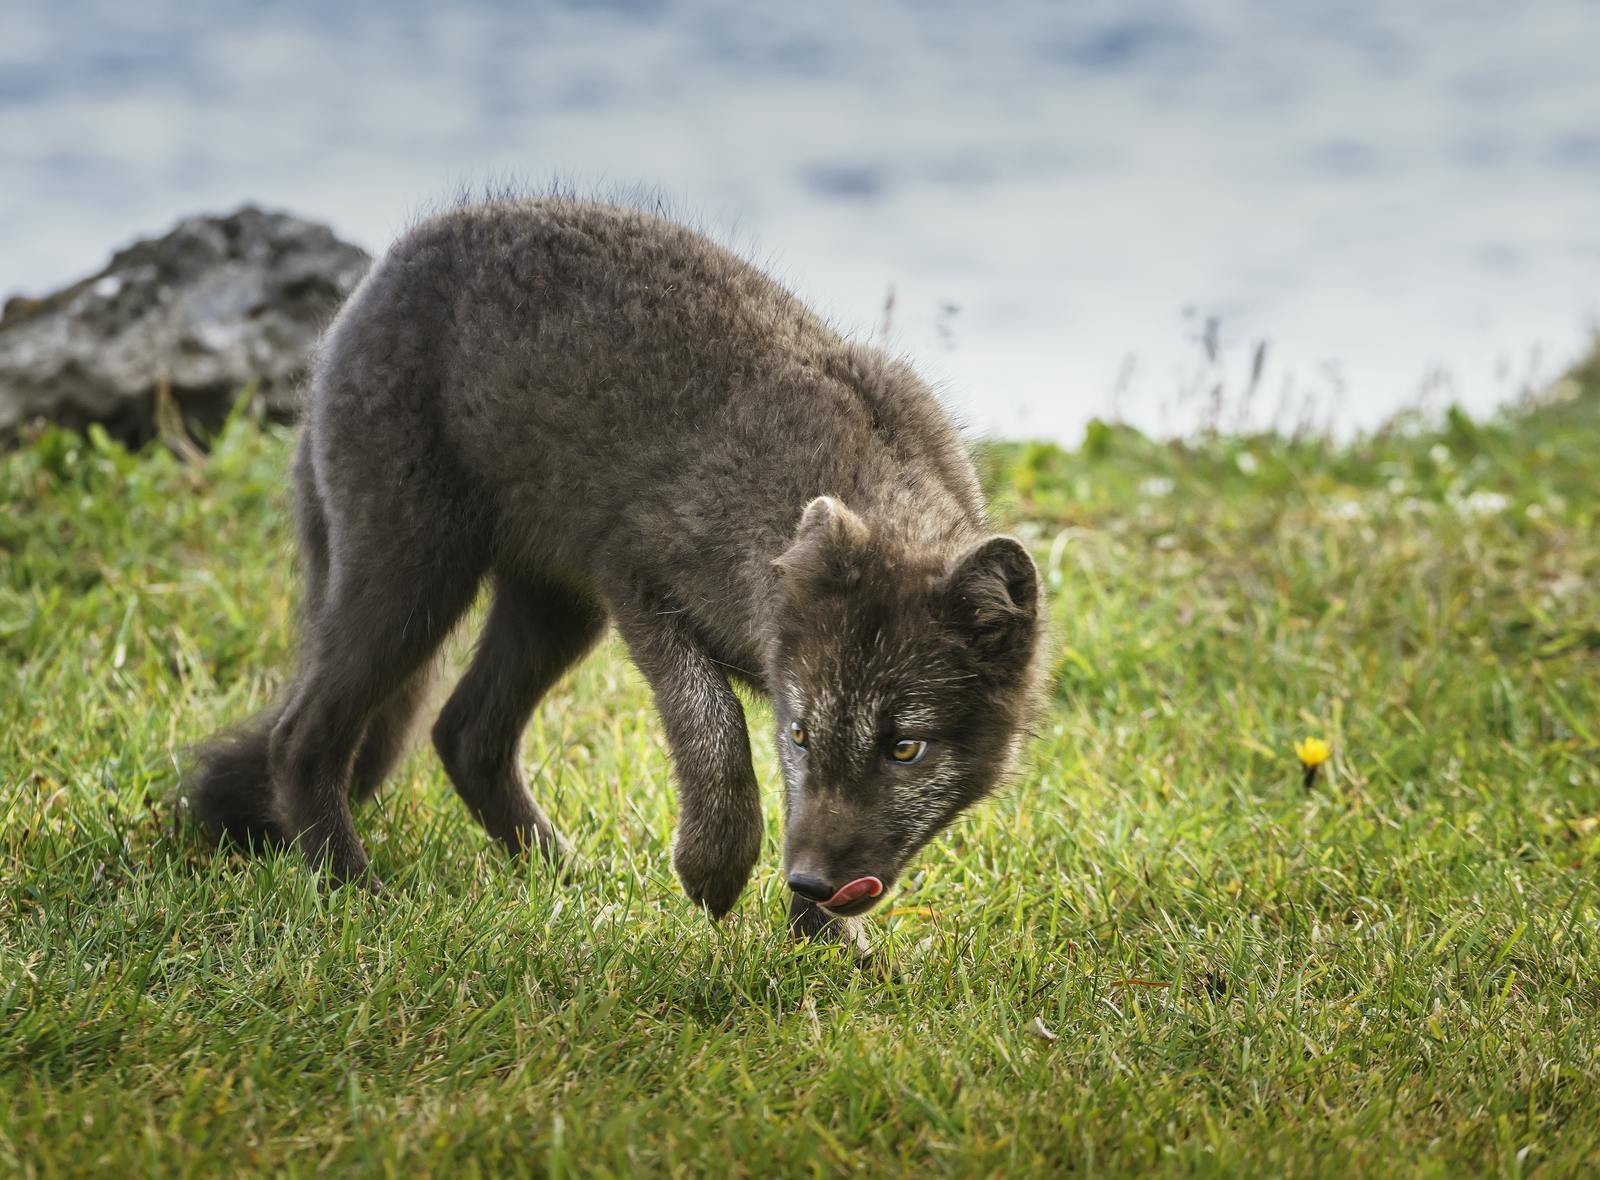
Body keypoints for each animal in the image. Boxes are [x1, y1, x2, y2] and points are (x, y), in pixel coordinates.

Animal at [187, 199, 1043, 940]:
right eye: (802, 735)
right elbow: (714, 726)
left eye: (905, 749)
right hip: (414, 580)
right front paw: (715, 872)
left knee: (463, 733)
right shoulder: (634, 573)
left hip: (553, 609)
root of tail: (373, 281)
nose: (809, 884)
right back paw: (353, 893)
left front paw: (823, 944)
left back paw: (564, 878)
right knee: (300, 735)